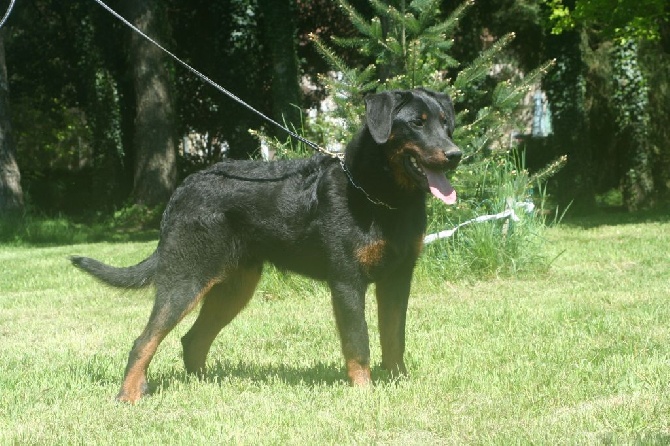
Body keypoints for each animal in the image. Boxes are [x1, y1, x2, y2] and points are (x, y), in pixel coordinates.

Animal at [72, 86, 462, 400]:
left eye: (446, 123)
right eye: (417, 123)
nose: (455, 154)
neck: (381, 196)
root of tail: (182, 190)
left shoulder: (397, 279)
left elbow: (394, 336)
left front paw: (398, 382)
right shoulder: (347, 282)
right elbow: (359, 342)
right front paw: (365, 393)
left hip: (234, 288)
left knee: (192, 340)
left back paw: (206, 387)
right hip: (186, 280)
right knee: (144, 342)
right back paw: (129, 395)